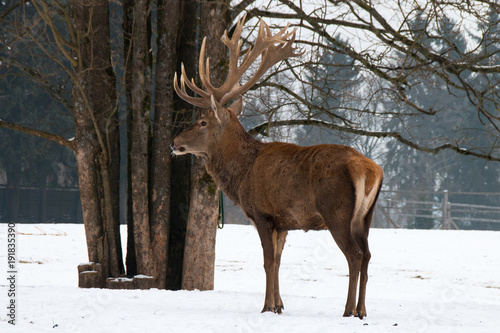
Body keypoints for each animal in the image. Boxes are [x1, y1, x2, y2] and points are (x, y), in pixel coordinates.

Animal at [170, 16, 384, 320]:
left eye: (202, 122)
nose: (174, 142)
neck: (242, 174)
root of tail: (370, 170)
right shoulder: (284, 222)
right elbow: (280, 260)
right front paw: (280, 305)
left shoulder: (263, 213)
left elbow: (268, 261)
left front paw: (266, 306)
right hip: (365, 217)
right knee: (367, 255)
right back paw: (362, 311)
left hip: (337, 212)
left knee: (354, 256)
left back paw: (347, 311)